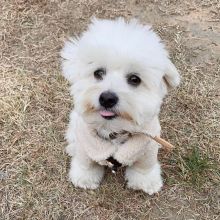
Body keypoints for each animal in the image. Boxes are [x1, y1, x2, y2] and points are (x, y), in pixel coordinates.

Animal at [60, 18, 180, 195]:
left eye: (135, 79)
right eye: (98, 73)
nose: (107, 98)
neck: (113, 130)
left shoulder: (147, 148)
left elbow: (145, 167)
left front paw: (145, 181)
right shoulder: (87, 146)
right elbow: (85, 163)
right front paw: (85, 177)